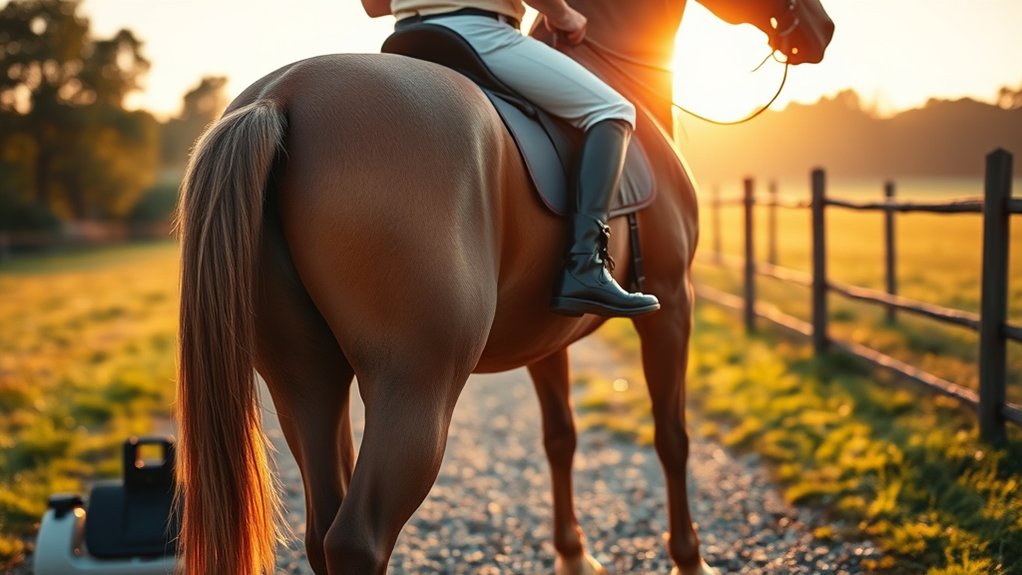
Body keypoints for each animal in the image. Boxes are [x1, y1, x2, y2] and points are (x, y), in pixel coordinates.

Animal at [174, 1, 833, 574]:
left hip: (305, 378)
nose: (822, 29)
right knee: (357, 539)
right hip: (417, 382)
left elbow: (560, 437)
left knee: (322, 530)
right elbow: (673, 438)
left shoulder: (547, 336)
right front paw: (690, 559)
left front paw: (572, 554)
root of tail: (283, 95)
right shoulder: (671, 303)